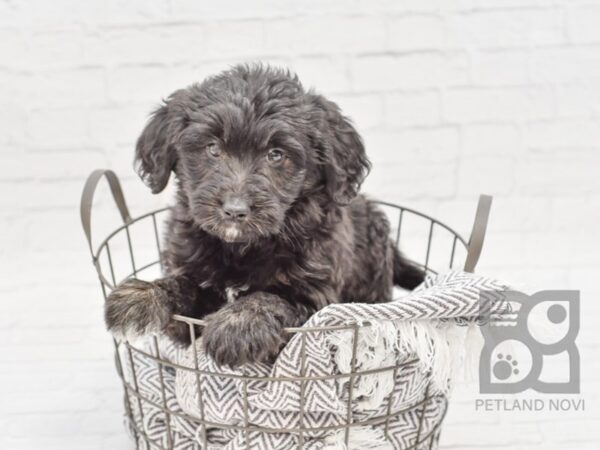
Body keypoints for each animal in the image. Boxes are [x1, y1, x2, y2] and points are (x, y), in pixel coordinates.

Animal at [104, 64, 422, 366]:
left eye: (276, 154)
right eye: (213, 148)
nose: (235, 210)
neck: (241, 248)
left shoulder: (318, 304)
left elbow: (271, 298)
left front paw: (239, 322)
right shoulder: (186, 309)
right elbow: (183, 285)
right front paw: (142, 295)